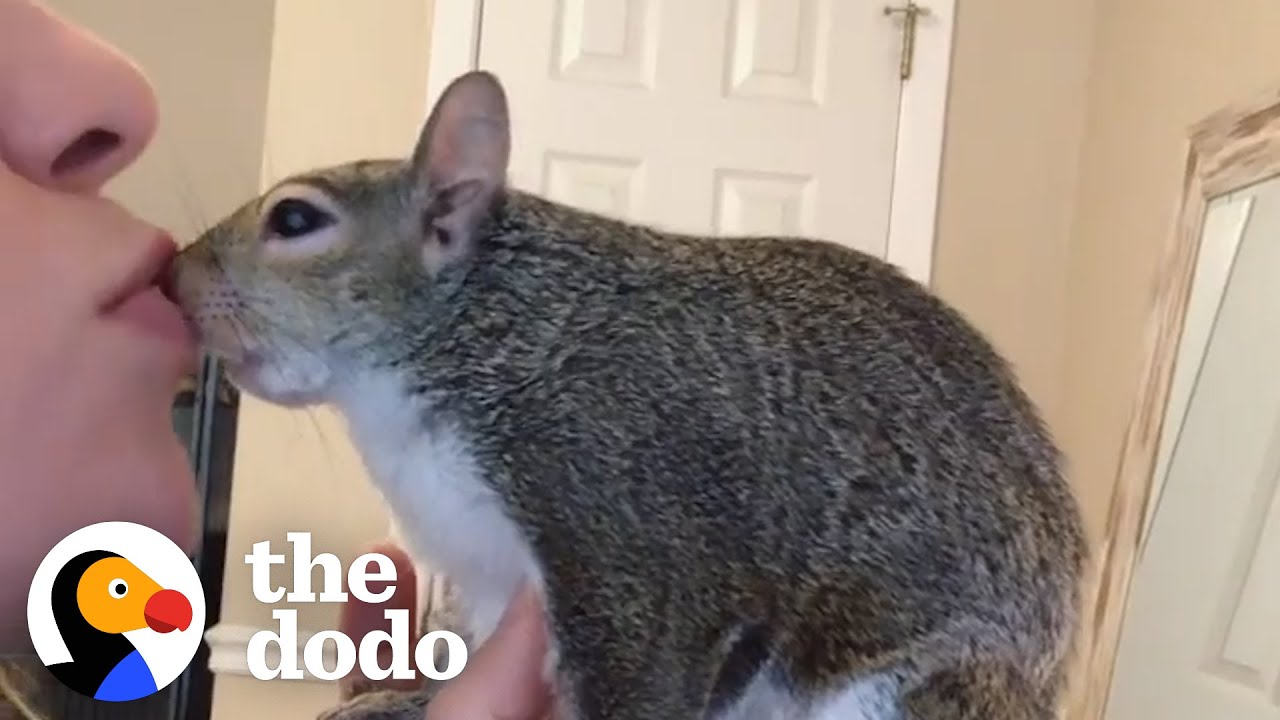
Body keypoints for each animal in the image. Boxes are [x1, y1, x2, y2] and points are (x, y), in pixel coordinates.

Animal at [166, 70, 1088, 720]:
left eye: (295, 220)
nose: (175, 275)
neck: (474, 332)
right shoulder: (486, 573)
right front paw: (402, 701)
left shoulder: (621, 506)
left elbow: (645, 670)